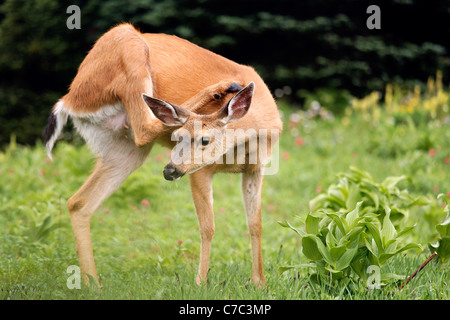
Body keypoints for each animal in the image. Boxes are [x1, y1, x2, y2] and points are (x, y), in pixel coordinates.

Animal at [42, 22, 282, 288]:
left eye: (205, 140)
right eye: (177, 138)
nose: (169, 170)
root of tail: (70, 98)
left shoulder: (256, 168)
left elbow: (256, 224)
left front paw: (259, 283)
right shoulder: (201, 171)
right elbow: (207, 227)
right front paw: (200, 282)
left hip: (123, 150)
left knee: (78, 203)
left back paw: (93, 285)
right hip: (128, 47)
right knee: (147, 123)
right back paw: (219, 89)